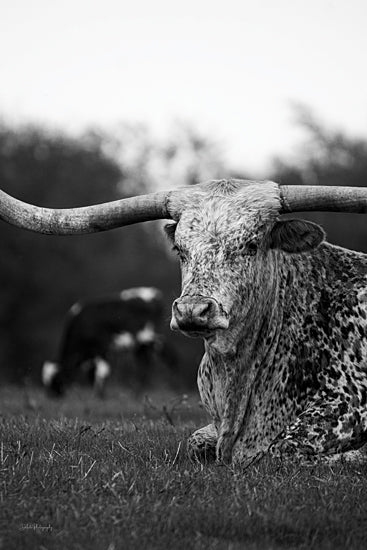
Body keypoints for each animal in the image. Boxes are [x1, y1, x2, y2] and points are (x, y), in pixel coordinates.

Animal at [0, 181, 367, 466]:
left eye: (251, 245)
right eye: (179, 249)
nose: (193, 310)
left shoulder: (344, 408)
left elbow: (282, 450)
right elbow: (195, 443)